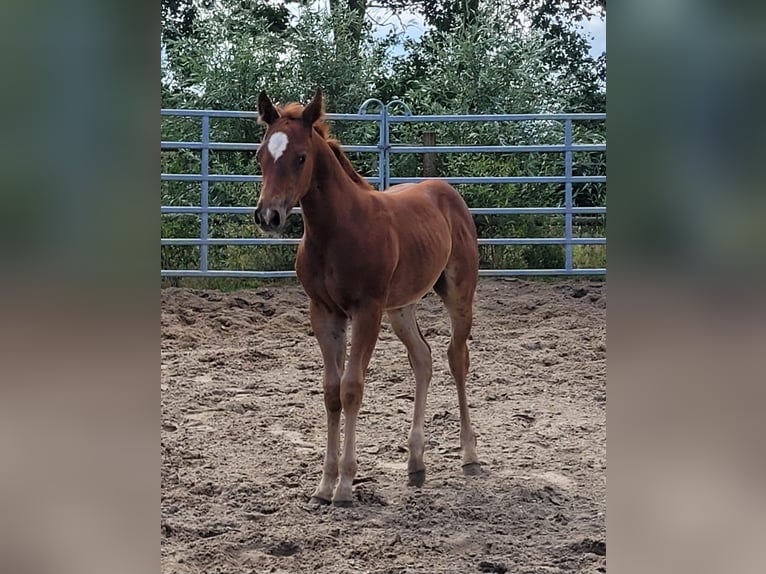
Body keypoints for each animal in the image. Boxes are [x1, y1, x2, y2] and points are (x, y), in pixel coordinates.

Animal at [254, 88, 481, 506]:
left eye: (300, 157)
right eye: (261, 154)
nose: (268, 216)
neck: (336, 231)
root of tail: (446, 191)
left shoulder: (366, 310)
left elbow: (351, 388)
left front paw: (345, 486)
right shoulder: (324, 312)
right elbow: (331, 391)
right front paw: (323, 485)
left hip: (458, 292)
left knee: (456, 358)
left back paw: (469, 455)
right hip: (401, 307)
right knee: (422, 358)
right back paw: (415, 463)